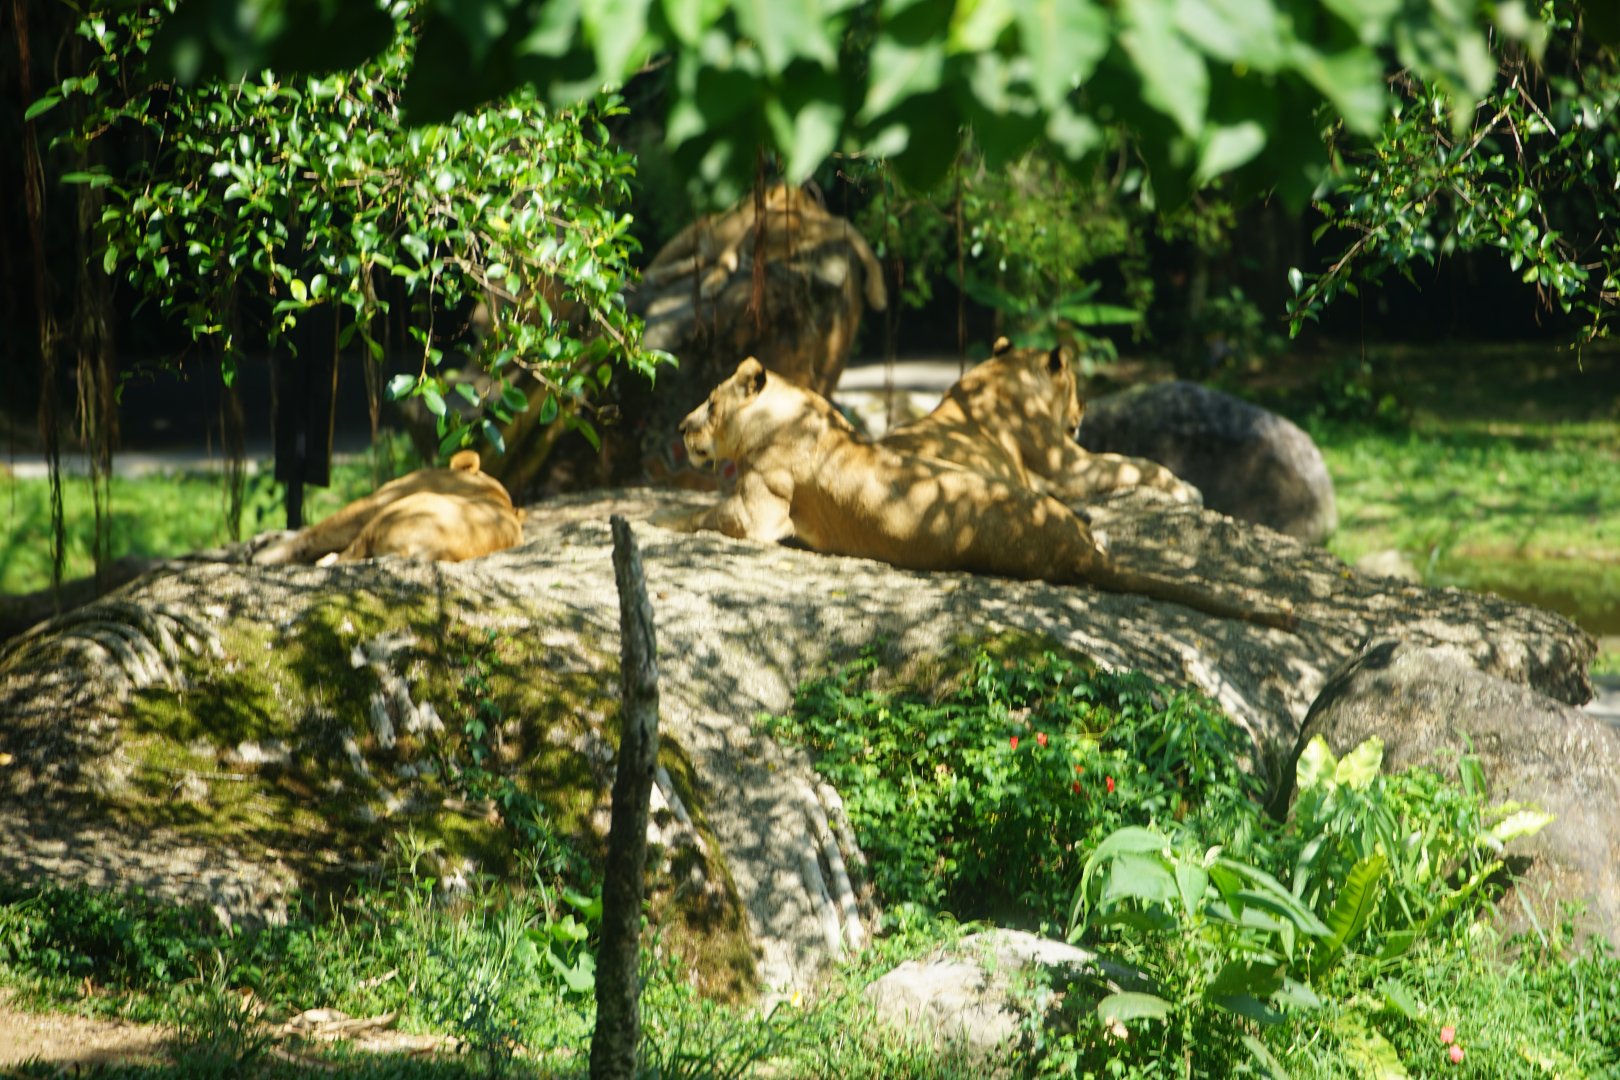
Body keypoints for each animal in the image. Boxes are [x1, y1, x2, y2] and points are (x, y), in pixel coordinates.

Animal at [641, 183, 888, 313]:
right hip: (690, 234)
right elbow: (722, 261)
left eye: (777, 253)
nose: (752, 257)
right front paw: (712, 284)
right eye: (764, 242)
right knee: (659, 263)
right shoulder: (739, 233)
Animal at [660, 358, 1293, 630]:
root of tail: (1074, 552)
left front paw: (655, 521)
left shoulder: (758, 515)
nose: (681, 426)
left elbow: (694, 515)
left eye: (709, 403)